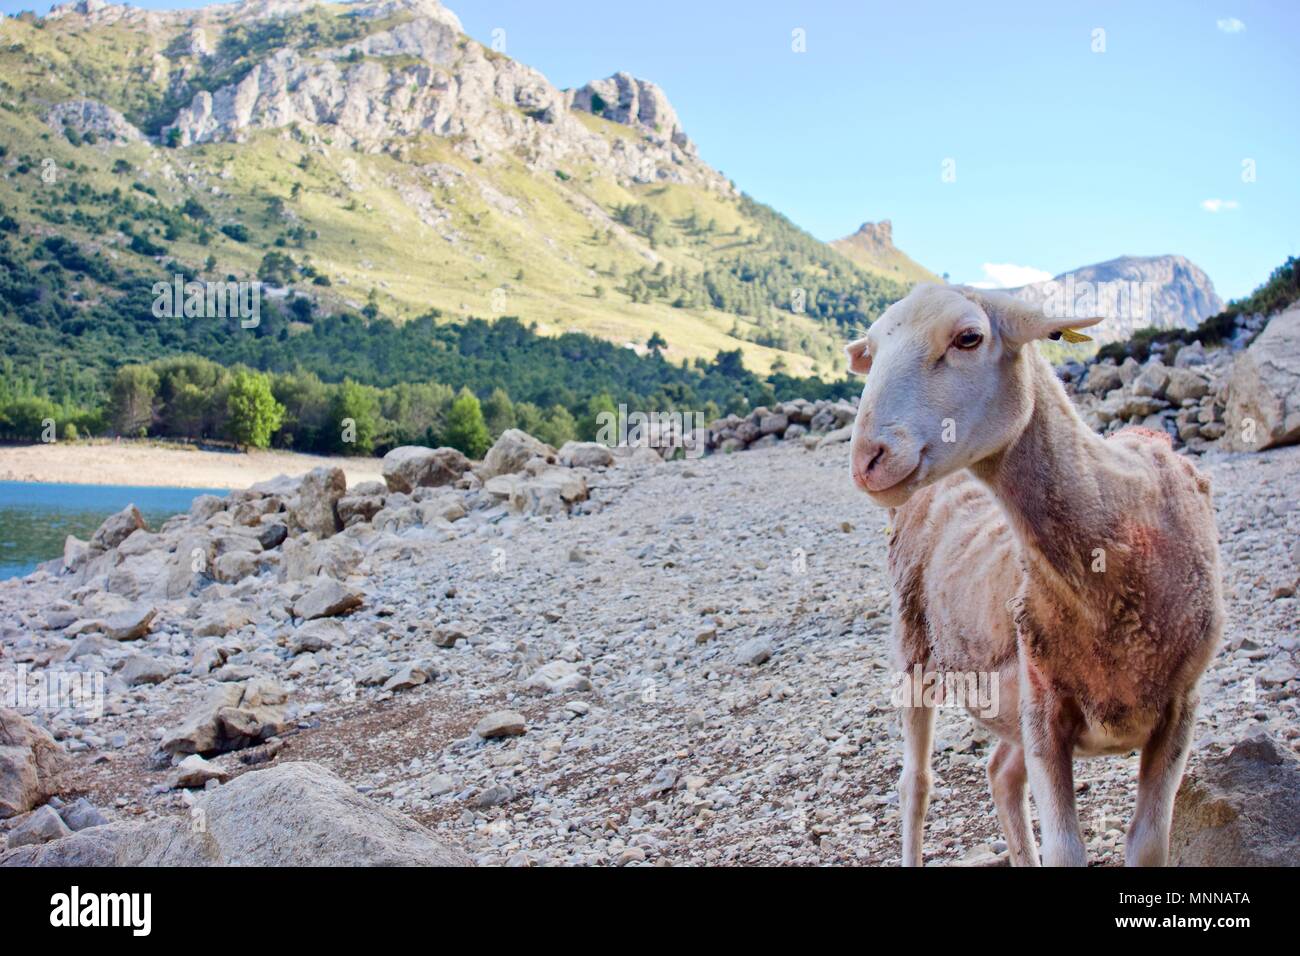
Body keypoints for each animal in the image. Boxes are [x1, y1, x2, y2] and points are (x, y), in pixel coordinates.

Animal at [845, 284, 1224, 866]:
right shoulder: (1045, 712)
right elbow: (1067, 850)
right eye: (872, 350)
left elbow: (1148, 844)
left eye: (969, 337)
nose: (867, 458)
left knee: (1000, 773)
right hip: (913, 645)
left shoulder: (1180, 709)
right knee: (916, 785)